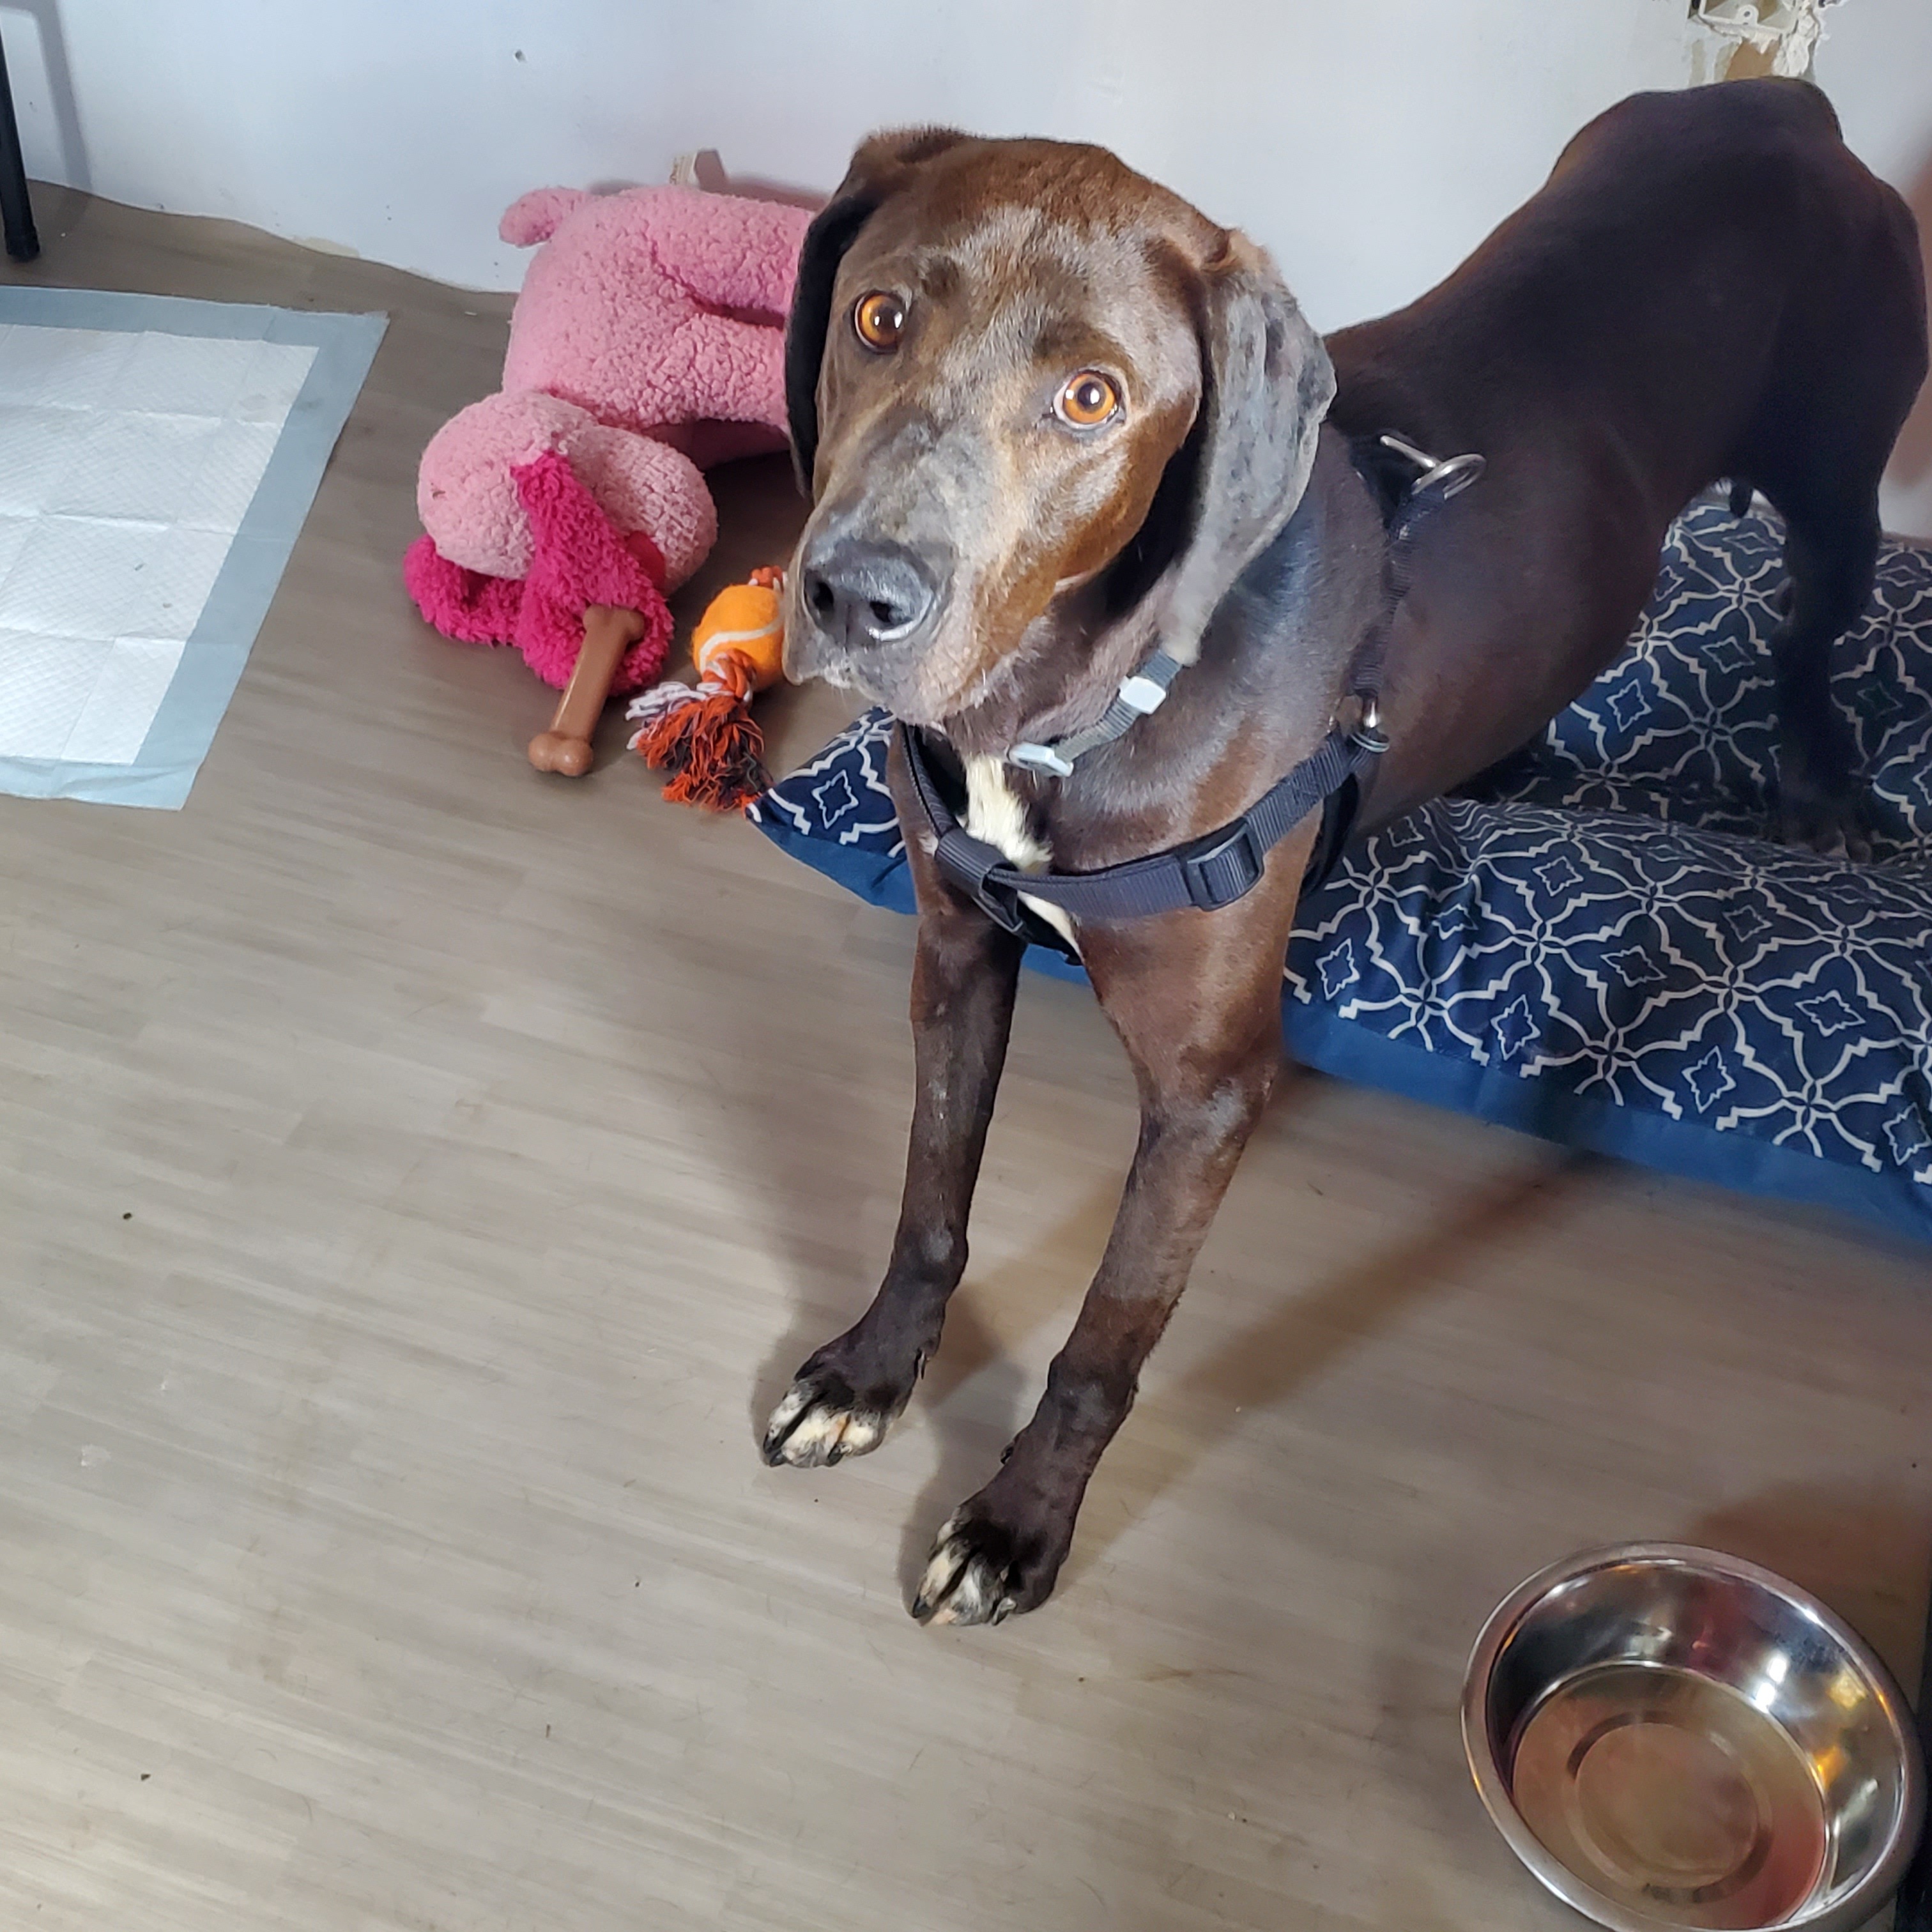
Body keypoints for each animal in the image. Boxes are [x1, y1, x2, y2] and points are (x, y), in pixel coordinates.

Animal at [761, 79, 1924, 1630]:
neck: (1079, 708)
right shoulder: (954, 951)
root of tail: (1776, 99)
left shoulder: (1202, 1097)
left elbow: (1105, 1337)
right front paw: (875, 1371)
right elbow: (929, 1200)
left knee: (1808, 636)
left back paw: (1819, 781)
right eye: (878, 317)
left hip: (1841, 482)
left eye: (1091, 399)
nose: (852, 594)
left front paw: (1018, 1523)